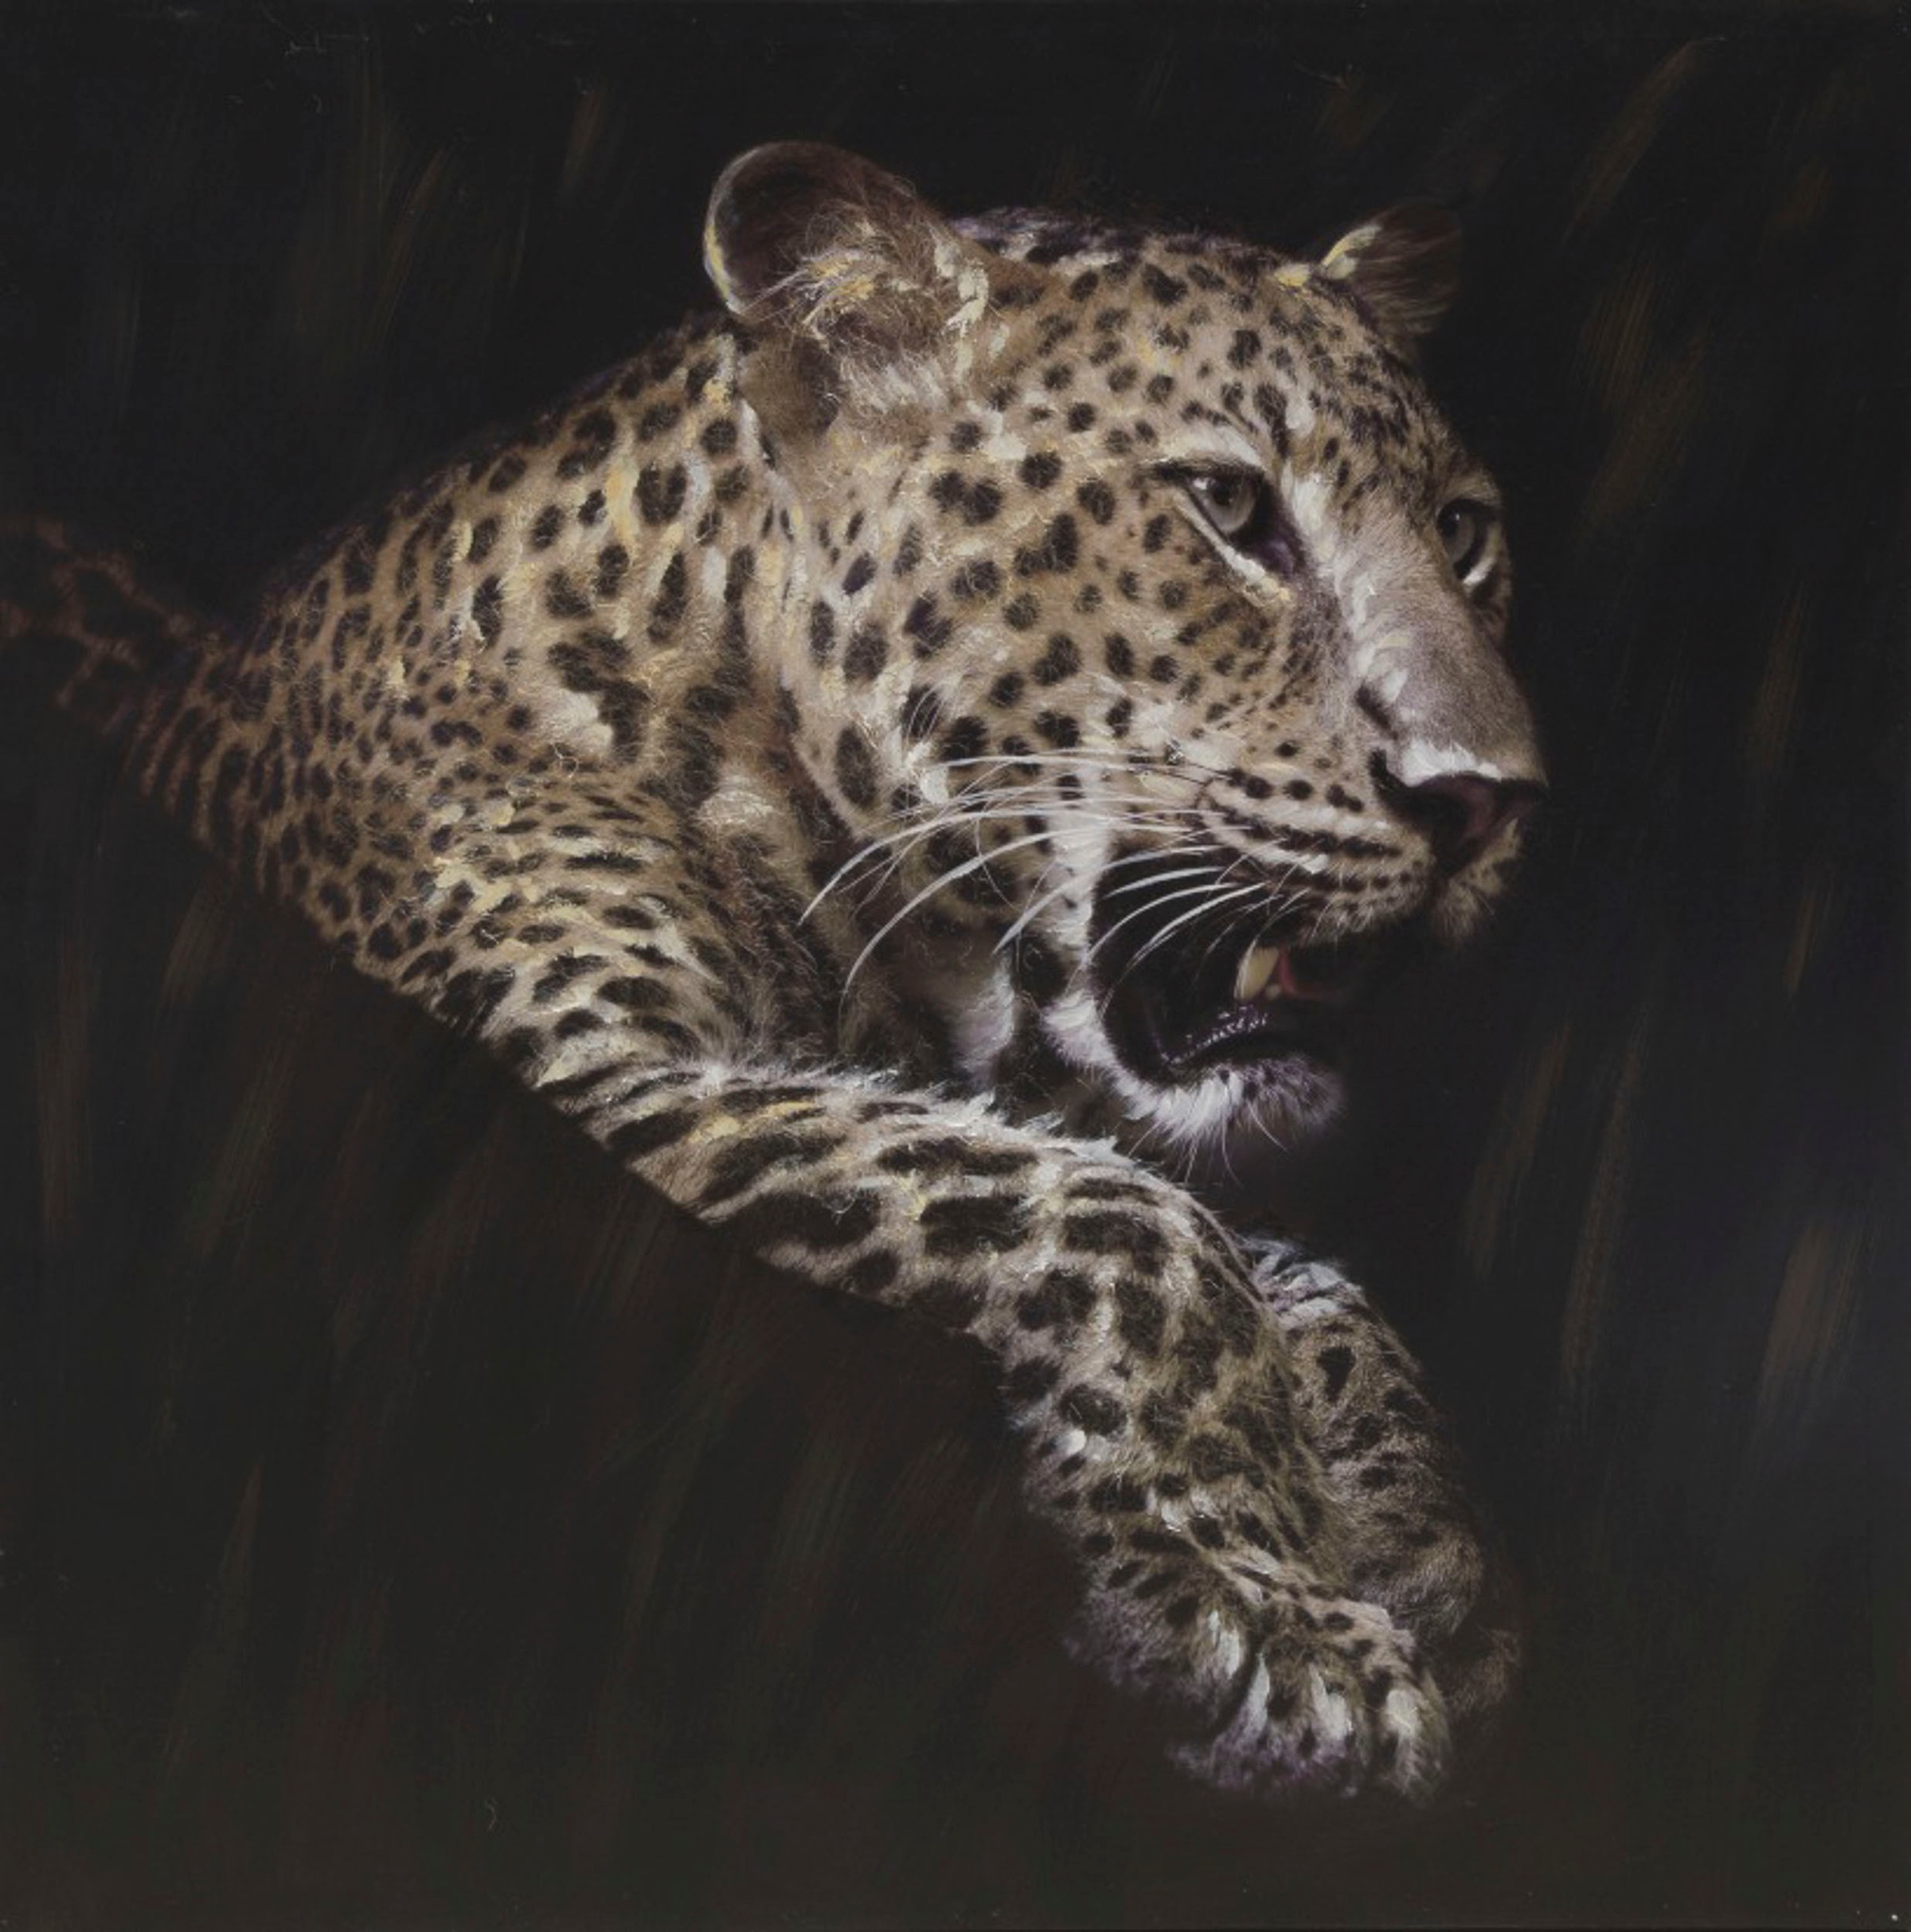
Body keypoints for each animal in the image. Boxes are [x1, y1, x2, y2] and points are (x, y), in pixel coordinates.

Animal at [2, 142, 1543, 1803]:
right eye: (1230, 506)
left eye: (1465, 533)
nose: (1490, 798)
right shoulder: (591, 1063)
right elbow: (1124, 1219)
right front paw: (1273, 1614)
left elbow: (1299, 1271)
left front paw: (1419, 1546)